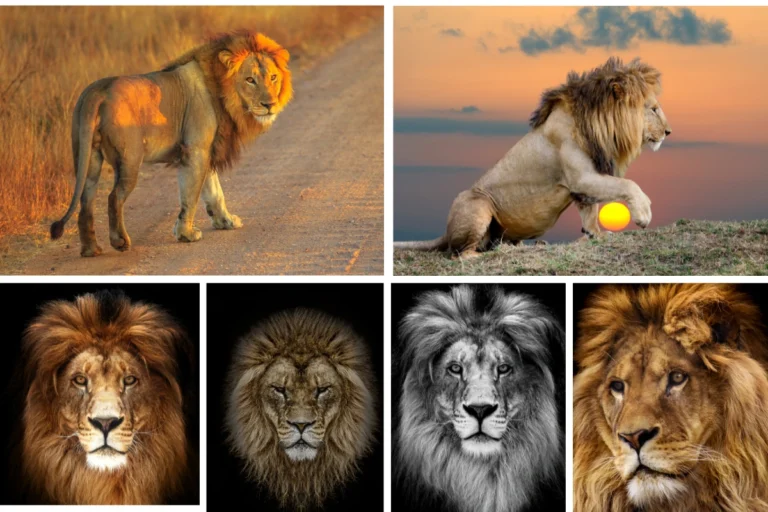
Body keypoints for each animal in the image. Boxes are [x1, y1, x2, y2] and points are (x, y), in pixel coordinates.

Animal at [50, 31, 293, 257]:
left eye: (273, 77)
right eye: (250, 80)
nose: (270, 104)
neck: (222, 90)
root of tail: (97, 91)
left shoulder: (207, 150)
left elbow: (214, 191)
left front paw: (225, 221)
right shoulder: (195, 150)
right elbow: (191, 195)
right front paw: (186, 234)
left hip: (88, 157)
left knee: (86, 201)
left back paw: (91, 249)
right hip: (129, 160)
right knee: (113, 198)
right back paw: (120, 242)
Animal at [394, 57, 671, 259]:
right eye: (653, 109)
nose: (669, 132)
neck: (598, 125)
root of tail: (446, 232)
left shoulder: (584, 182)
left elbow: (590, 211)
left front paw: (596, 235)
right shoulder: (582, 177)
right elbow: (627, 184)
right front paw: (643, 214)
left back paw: (522, 246)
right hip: (477, 203)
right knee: (459, 253)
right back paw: (485, 255)